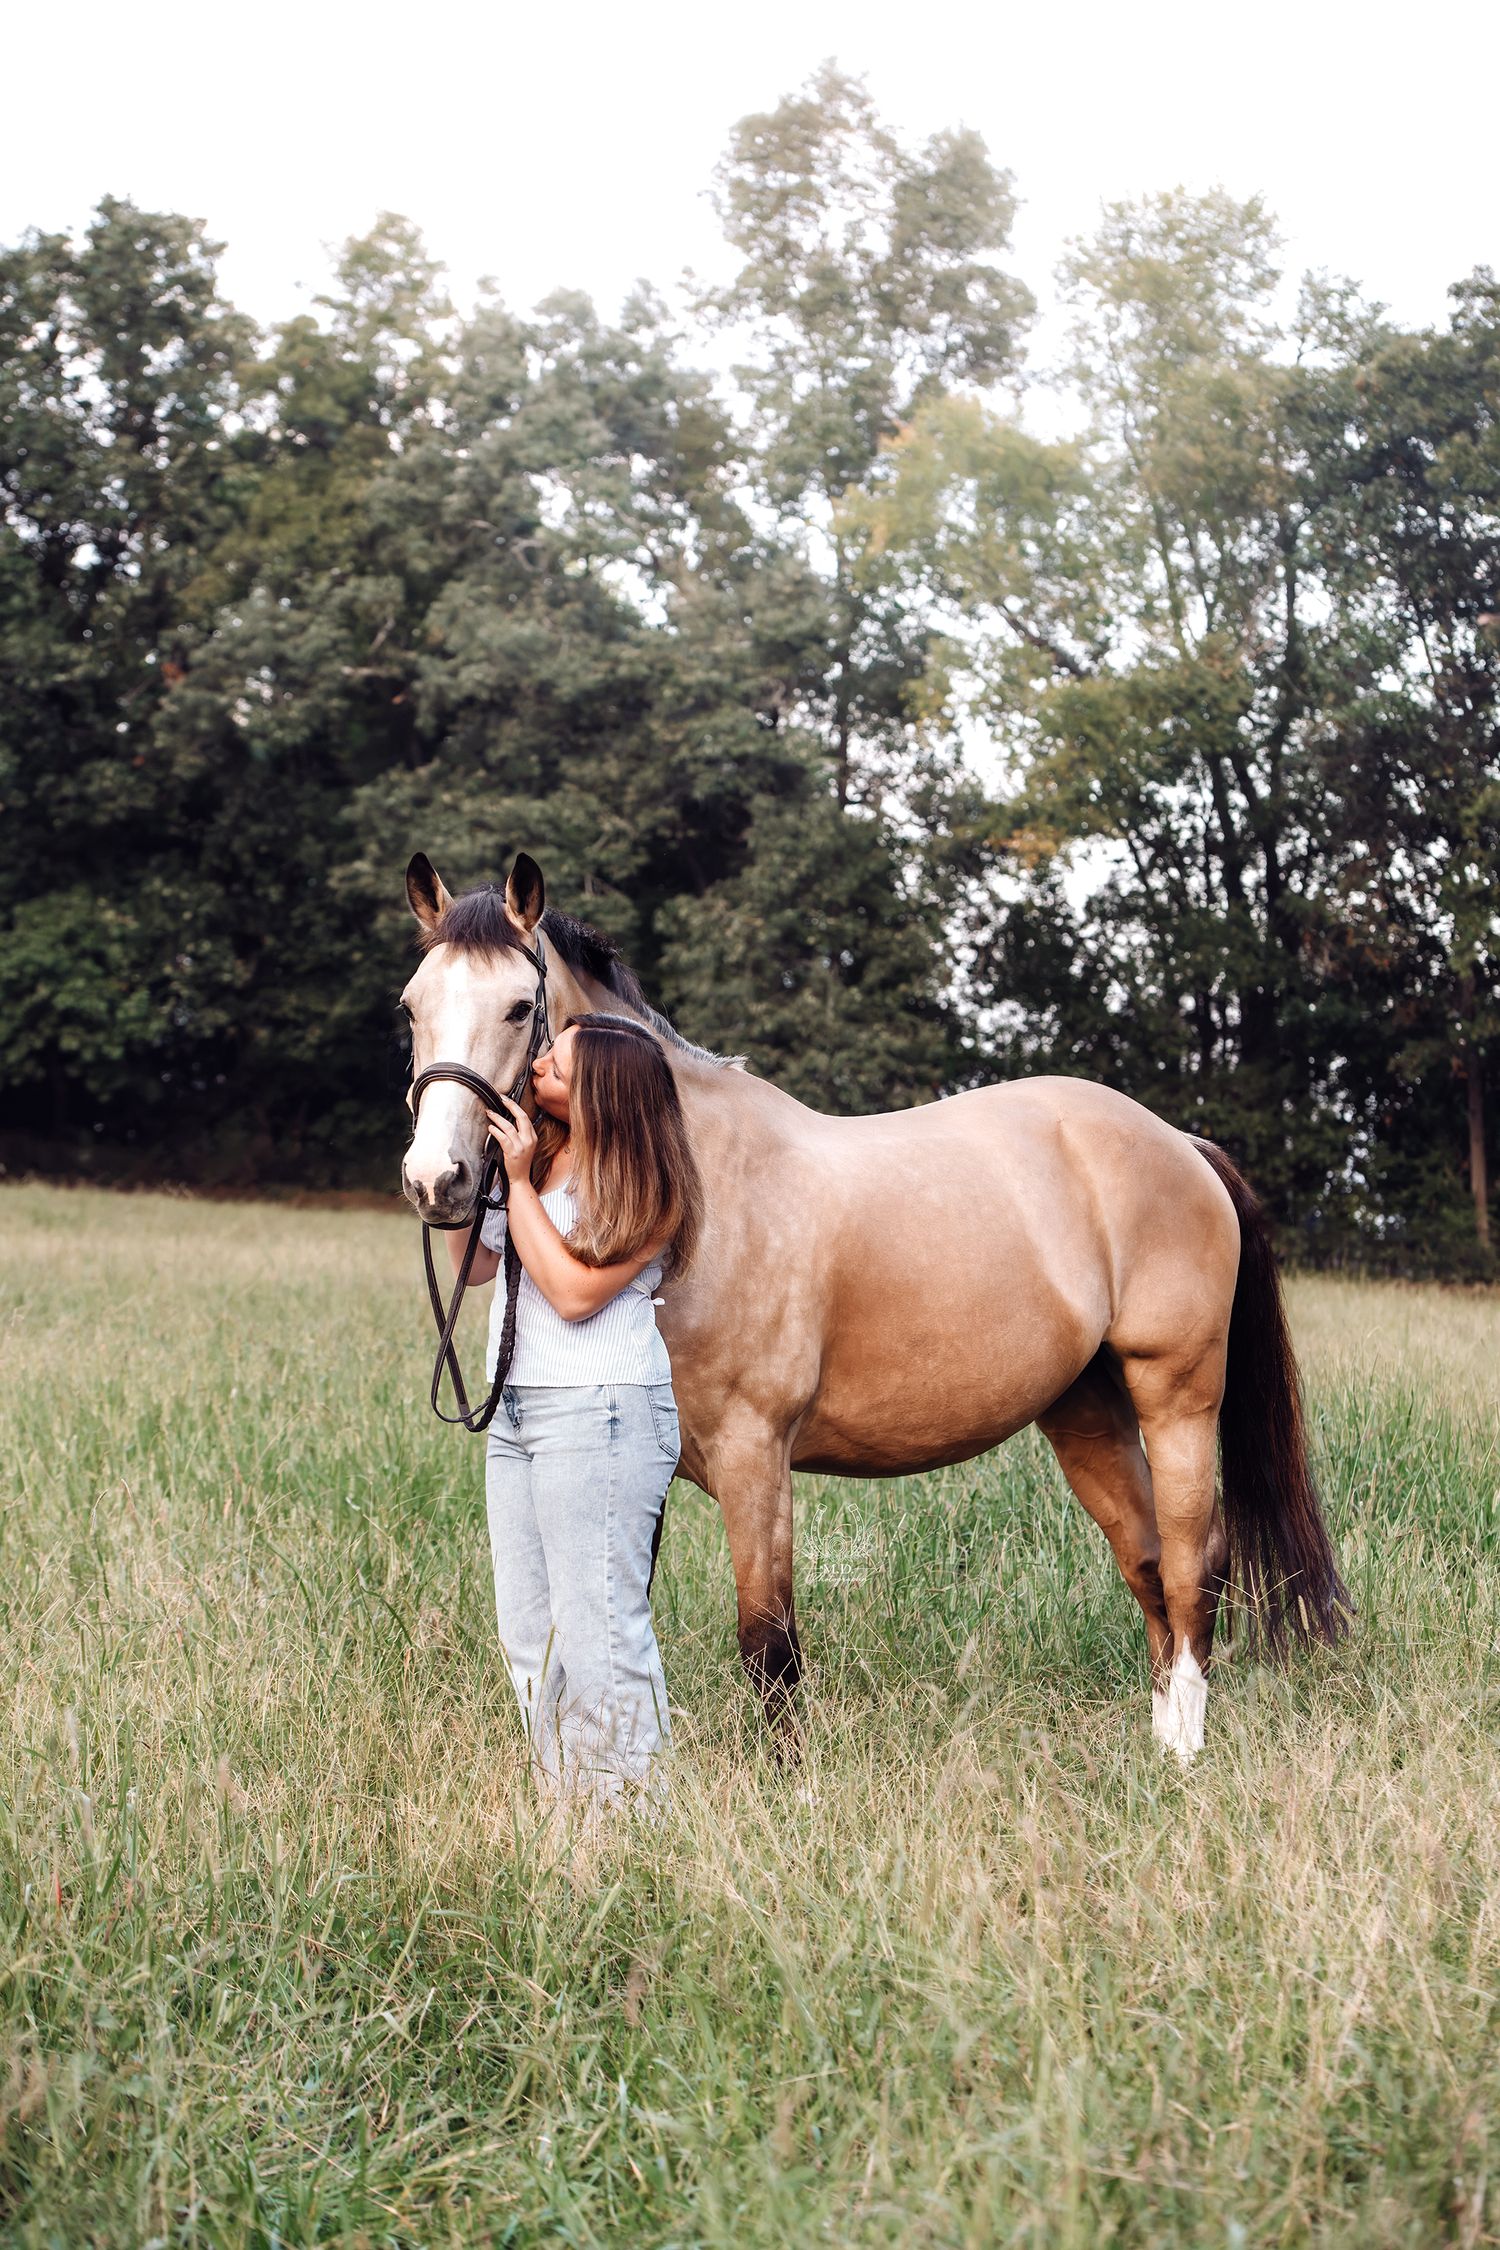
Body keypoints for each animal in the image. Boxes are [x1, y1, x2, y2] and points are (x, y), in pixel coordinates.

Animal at [399, 850, 1347, 1760]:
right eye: (412, 1007)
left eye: (520, 1007)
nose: (438, 1180)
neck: (698, 1183)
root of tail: (1180, 1143)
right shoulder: (647, 1460)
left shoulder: (754, 1455)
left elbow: (768, 1645)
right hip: (1086, 1410)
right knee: (1148, 1561)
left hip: (1176, 1394)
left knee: (1195, 1559)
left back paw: (1184, 1748)